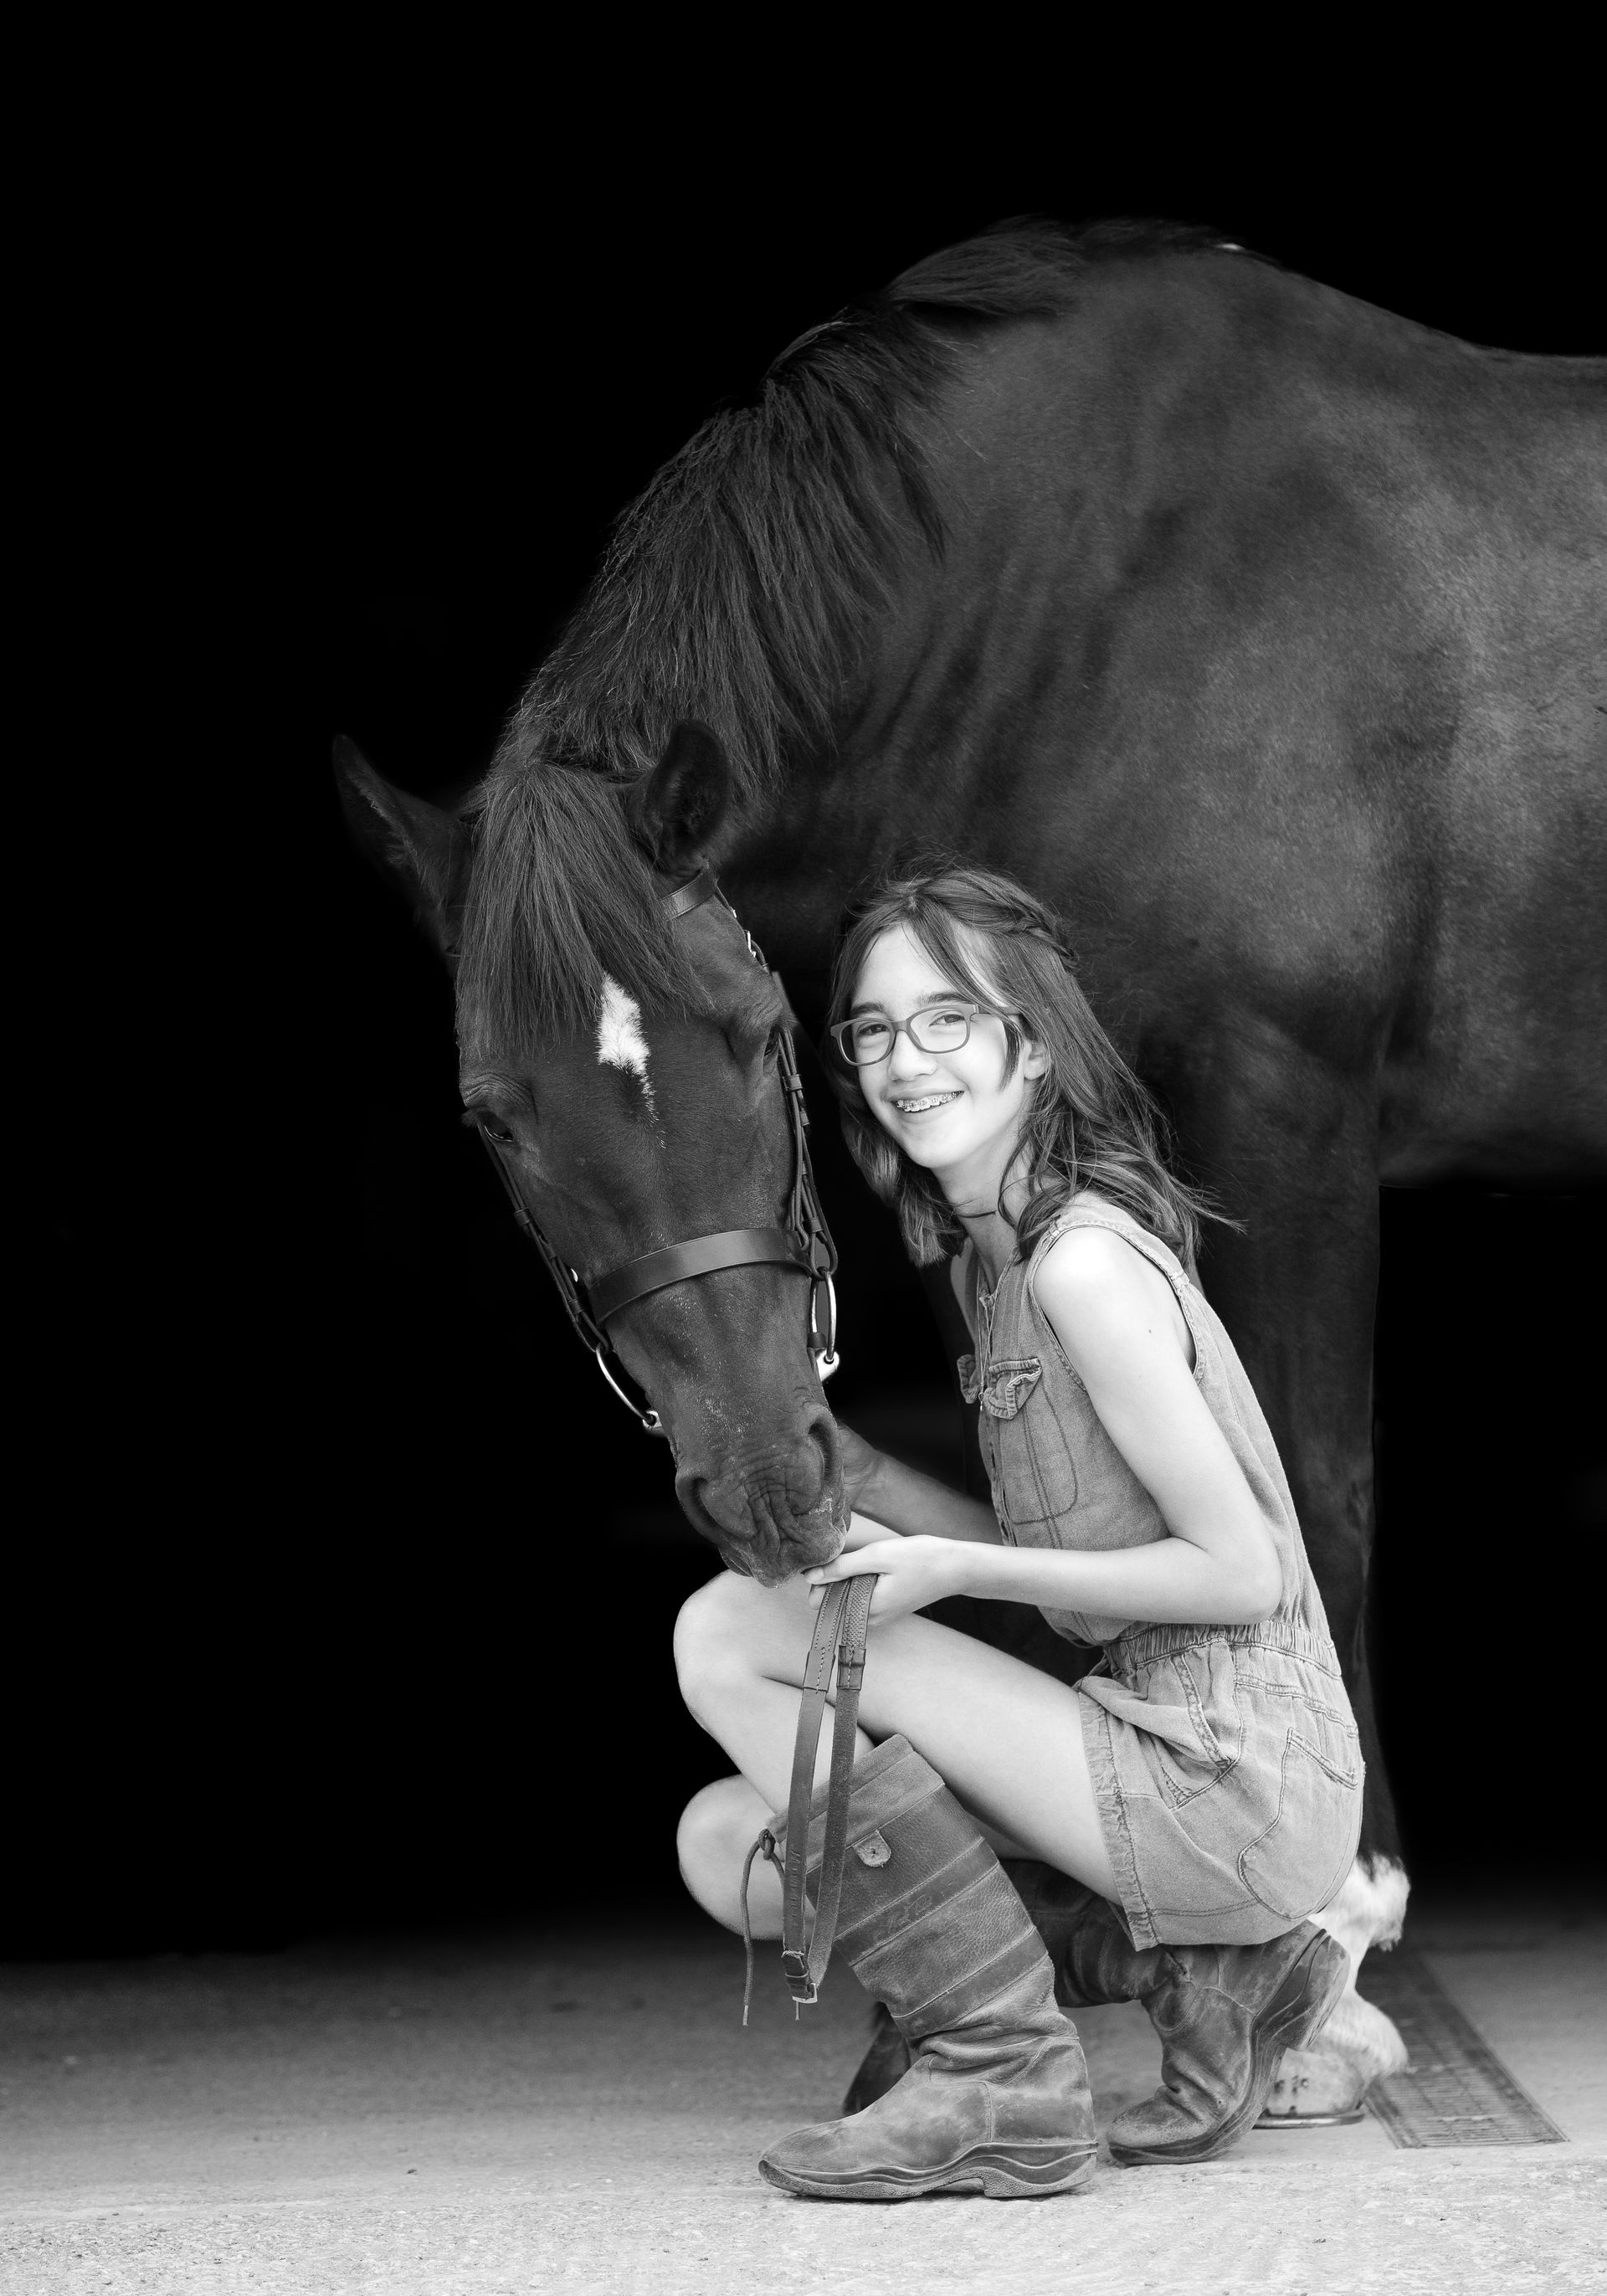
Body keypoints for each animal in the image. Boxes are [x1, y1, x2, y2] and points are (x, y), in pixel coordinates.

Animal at [338, 217, 1607, 2115]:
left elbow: (1317, 1490)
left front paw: (1345, 1941)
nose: (769, 1492)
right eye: (494, 1116)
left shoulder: (1289, 1120)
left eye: (757, 1036)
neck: (1090, 599)